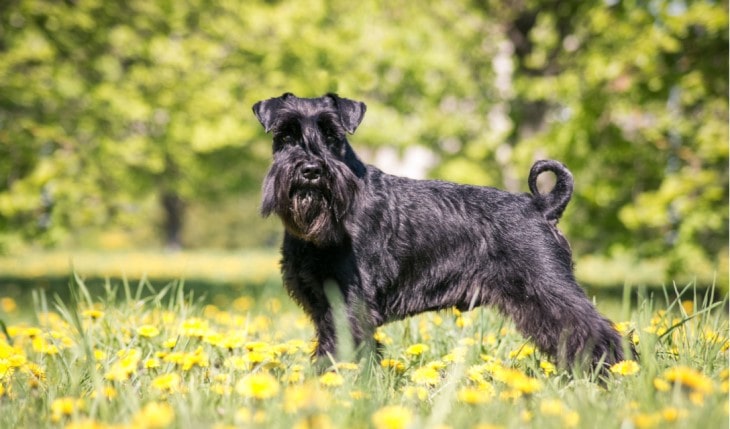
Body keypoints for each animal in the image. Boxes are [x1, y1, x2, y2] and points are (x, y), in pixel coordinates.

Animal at [253, 92, 624, 370]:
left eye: (333, 135)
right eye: (285, 135)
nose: (311, 170)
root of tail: (542, 205)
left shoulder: (349, 303)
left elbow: (340, 351)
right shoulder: (323, 304)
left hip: (547, 287)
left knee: (595, 330)